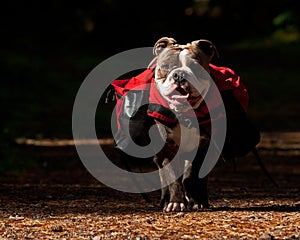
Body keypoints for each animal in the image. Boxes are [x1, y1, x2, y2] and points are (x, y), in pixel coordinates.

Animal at [149, 36, 219, 211]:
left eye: (195, 67)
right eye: (166, 67)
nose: (179, 75)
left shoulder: (203, 145)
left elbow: (194, 175)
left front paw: (197, 200)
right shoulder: (167, 149)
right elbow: (173, 177)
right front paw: (175, 202)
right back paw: (165, 200)